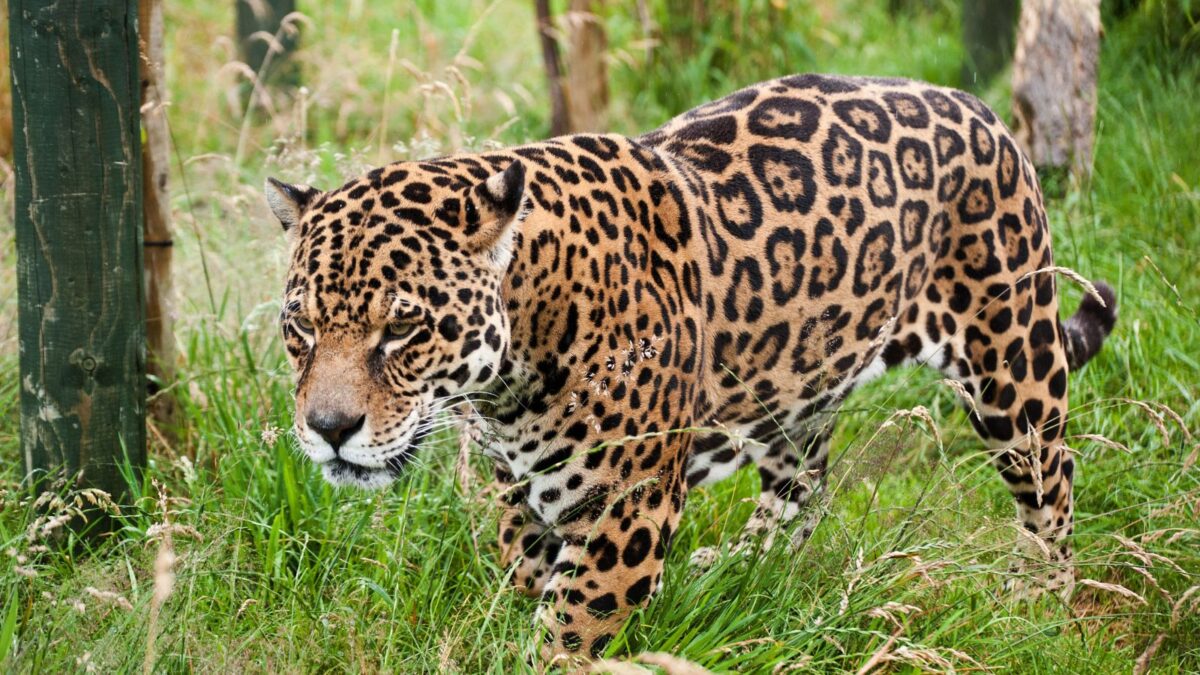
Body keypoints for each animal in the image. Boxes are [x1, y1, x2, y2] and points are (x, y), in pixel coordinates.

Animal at [265, 73, 1117, 664]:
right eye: (300, 328)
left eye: (403, 328)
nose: (329, 429)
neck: (515, 363)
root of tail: (980, 107)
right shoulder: (518, 489)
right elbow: (524, 579)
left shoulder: (625, 507)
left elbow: (566, 627)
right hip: (790, 386)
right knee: (804, 487)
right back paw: (737, 563)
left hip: (1011, 359)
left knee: (1052, 476)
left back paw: (1042, 597)